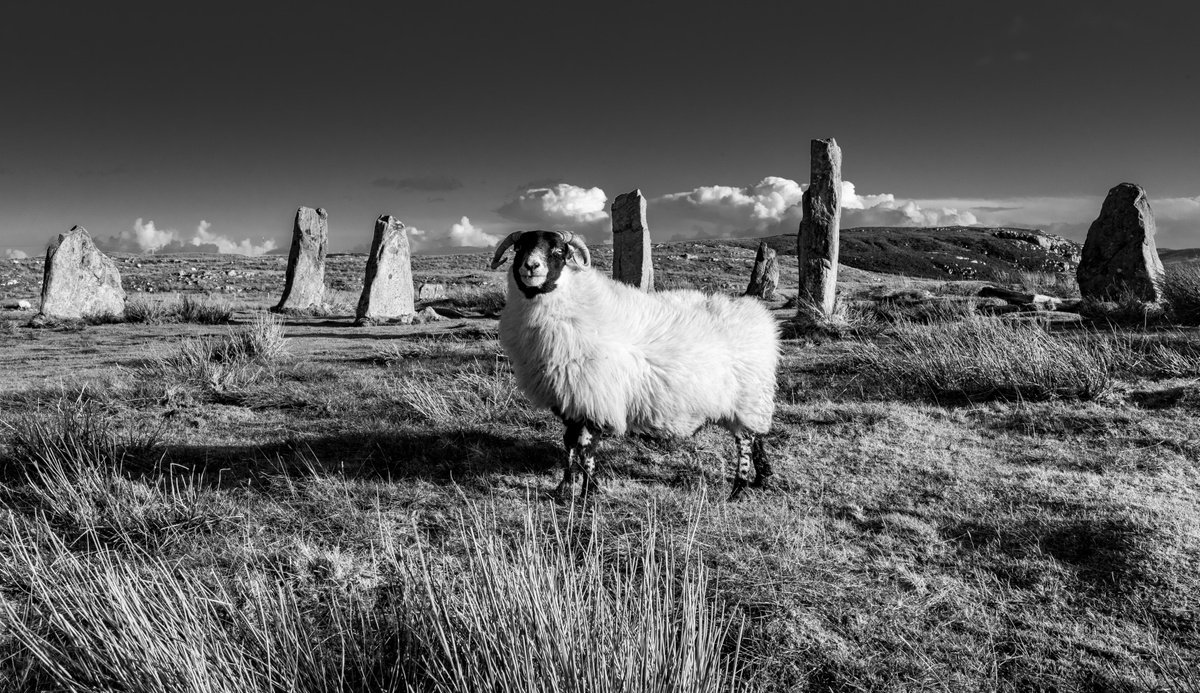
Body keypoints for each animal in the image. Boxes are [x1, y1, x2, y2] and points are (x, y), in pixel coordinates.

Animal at [487, 229, 777, 498]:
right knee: (758, 436)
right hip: (751, 402)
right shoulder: (570, 399)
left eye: (559, 251)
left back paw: (738, 489)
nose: (531, 267)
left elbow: (585, 448)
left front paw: (588, 493)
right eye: (519, 248)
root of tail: (759, 317)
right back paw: (763, 478)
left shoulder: (596, 399)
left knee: (746, 442)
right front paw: (564, 488)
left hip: (748, 396)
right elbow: (568, 444)